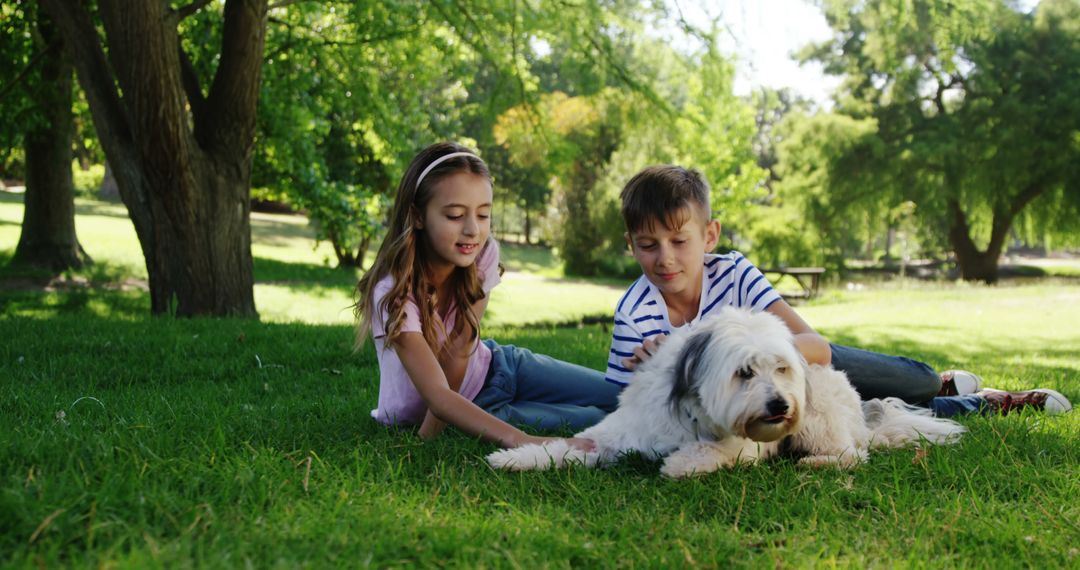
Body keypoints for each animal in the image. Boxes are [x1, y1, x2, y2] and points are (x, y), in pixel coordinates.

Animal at [488, 306, 963, 477]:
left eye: (781, 369)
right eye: (744, 372)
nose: (780, 404)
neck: (689, 411)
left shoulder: (748, 444)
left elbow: (716, 450)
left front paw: (682, 462)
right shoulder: (616, 435)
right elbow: (567, 447)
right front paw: (517, 458)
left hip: (818, 420)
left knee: (853, 455)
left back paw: (819, 460)